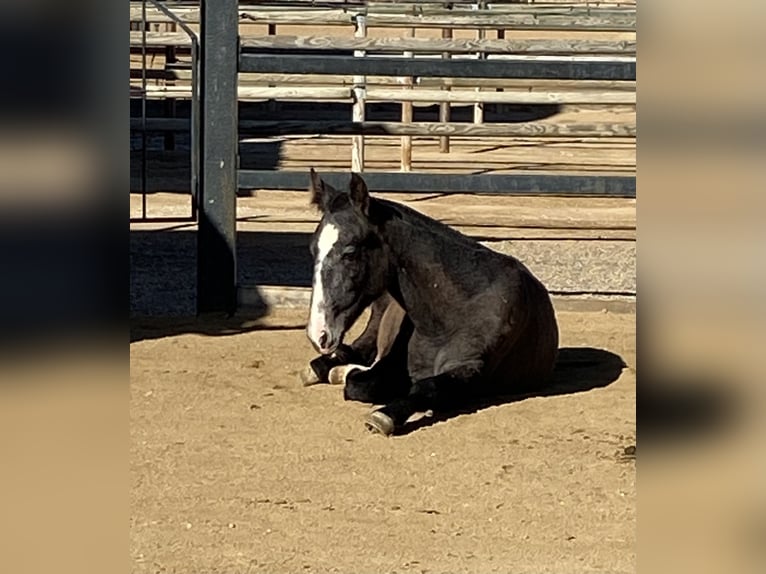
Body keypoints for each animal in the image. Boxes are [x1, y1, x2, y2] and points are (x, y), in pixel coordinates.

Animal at [298, 169, 560, 438]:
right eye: (313, 250)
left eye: (350, 253)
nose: (318, 334)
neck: (454, 313)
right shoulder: (393, 362)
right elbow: (361, 385)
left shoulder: (471, 369)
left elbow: (426, 388)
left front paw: (383, 416)